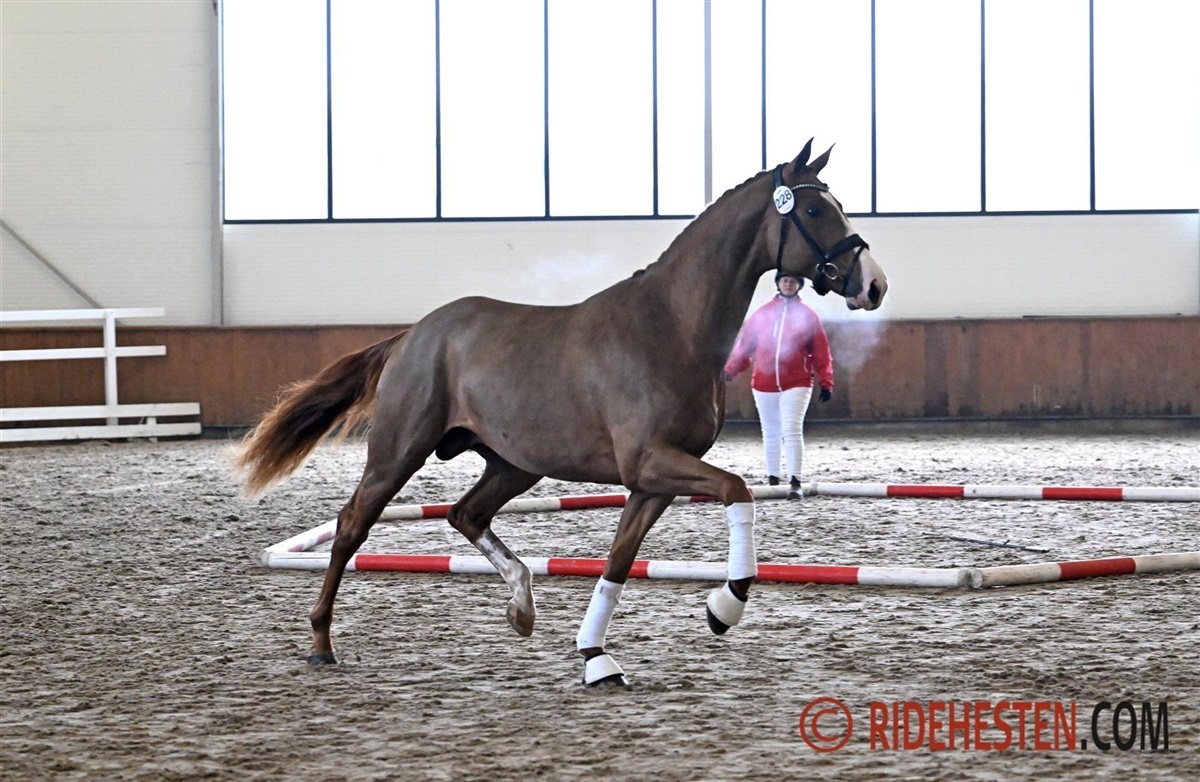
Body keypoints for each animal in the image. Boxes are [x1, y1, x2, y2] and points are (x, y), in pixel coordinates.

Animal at [236, 139, 888, 686]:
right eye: (815, 211)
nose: (874, 284)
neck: (672, 327)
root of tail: (413, 336)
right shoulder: (651, 462)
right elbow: (738, 491)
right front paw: (724, 606)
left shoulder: (650, 481)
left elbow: (619, 561)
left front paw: (596, 657)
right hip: (399, 452)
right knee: (352, 526)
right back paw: (321, 643)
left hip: (515, 464)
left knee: (466, 514)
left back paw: (521, 606)